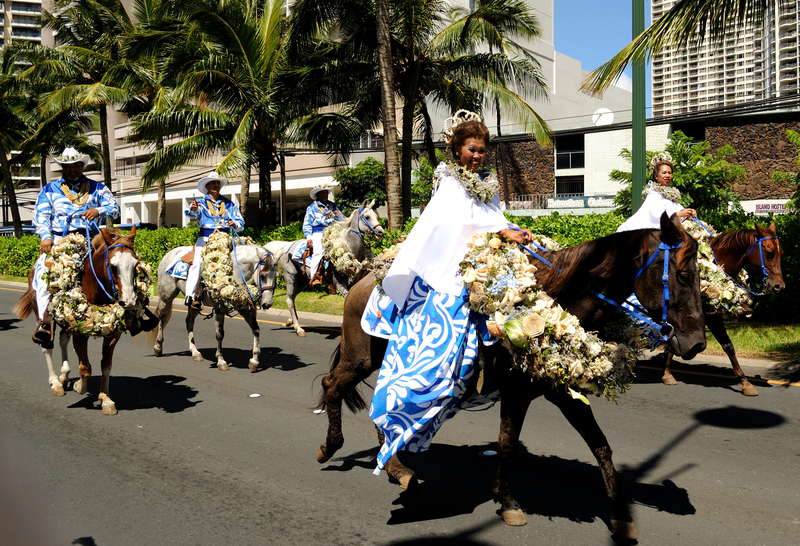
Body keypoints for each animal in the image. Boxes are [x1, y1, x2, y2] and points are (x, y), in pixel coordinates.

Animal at [13, 227, 144, 414]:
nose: (129, 301)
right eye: (113, 266)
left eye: (135, 264)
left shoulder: (112, 334)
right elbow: (85, 368)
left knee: (63, 339)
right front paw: (79, 387)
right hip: (41, 314)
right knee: (47, 346)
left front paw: (106, 399)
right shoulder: (80, 333)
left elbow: (106, 365)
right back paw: (55, 382)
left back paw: (64, 375)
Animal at [153, 239, 278, 370]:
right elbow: (220, 334)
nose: (267, 303)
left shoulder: (246, 309)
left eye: (277, 276)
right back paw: (158, 347)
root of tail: (169, 253)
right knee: (161, 317)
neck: (234, 271)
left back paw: (195, 352)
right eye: (262, 276)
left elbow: (256, 330)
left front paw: (254, 361)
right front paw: (221, 361)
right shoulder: (219, 309)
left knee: (189, 321)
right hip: (166, 296)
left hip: (193, 304)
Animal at [278, 199, 384, 336]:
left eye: (376, 215)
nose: (381, 232)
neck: (348, 248)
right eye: (367, 216)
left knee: (293, 298)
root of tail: (286, 246)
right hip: (290, 278)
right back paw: (298, 328)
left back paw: (291, 321)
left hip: (302, 281)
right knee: (289, 300)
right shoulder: (338, 282)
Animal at [316, 210, 704, 536]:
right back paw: (330, 447)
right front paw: (507, 502)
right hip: (359, 358)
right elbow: (506, 446)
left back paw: (397, 469)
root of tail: (366, 275)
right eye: (683, 275)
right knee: (331, 385)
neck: (559, 300)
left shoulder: (563, 392)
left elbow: (601, 447)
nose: (698, 343)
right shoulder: (517, 394)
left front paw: (621, 517)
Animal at [660, 221, 784, 396]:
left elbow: (728, 346)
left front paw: (745, 382)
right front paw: (667, 373)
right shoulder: (708, 316)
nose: (779, 286)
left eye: (781, 252)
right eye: (769, 253)